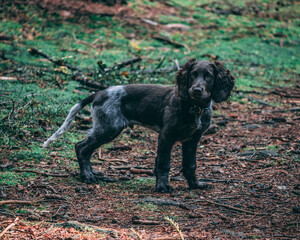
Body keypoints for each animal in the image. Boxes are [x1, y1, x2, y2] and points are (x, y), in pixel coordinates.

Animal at [43, 58, 234, 193]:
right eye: (193, 74)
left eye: (209, 76)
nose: (196, 90)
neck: (194, 107)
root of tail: (98, 93)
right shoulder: (166, 136)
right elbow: (163, 163)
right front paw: (163, 187)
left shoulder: (192, 140)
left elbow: (190, 164)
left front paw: (195, 184)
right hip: (109, 127)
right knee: (81, 147)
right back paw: (88, 176)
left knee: (82, 147)